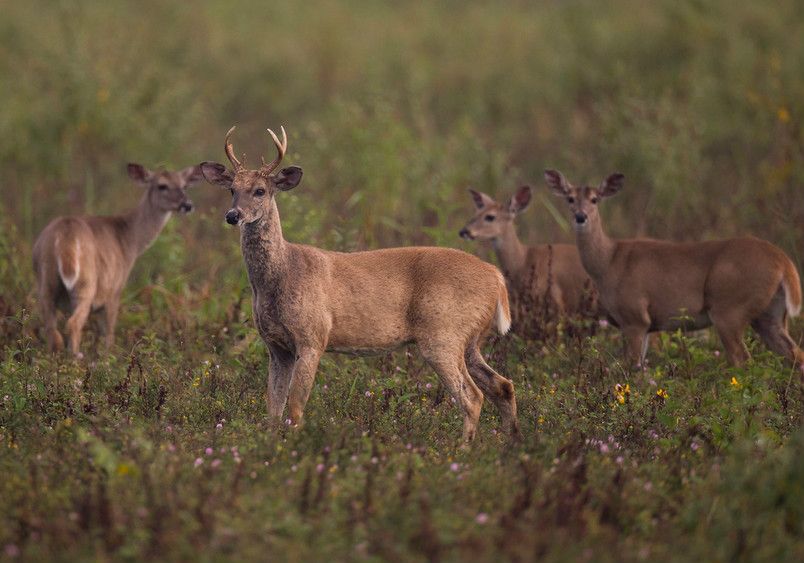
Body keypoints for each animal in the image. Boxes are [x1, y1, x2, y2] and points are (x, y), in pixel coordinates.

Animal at [33, 163, 204, 356]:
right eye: (162, 185)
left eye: (184, 186)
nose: (187, 205)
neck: (129, 239)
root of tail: (65, 237)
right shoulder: (114, 289)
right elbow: (108, 333)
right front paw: (108, 358)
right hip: (86, 283)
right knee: (73, 324)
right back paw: (76, 358)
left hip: (46, 282)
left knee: (51, 328)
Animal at [198, 125, 520, 442]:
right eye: (232, 189)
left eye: (260, 191)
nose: (233, 215)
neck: (283, 274)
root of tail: (496, 276)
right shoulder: (277, 346)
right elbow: (273, 410)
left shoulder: (313, 336)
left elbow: (296, 408)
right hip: (470, 339)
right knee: (503, 385)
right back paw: (509, 443)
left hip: (444, 332)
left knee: (473, 396)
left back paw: (462, 450)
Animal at [544, 169, 800, 374]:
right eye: (570, 198)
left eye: (595, 199)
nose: (580, 216)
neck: (609, 261)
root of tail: (784, 262)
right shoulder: (647, 325)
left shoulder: (635, 316)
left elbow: (633, 368)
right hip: (770, 314)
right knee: (795, 354)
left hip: (730, 308)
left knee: (742, 359)